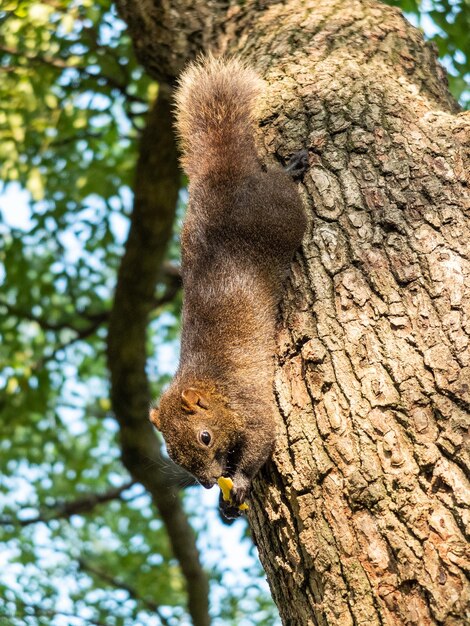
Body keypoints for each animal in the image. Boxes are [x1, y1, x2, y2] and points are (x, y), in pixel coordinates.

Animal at [149, 56, 306, 516]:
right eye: (173, 456)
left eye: (205, 437)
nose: (205, 483)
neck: (213, 386)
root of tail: (220, 172)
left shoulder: (252, 406)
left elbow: (261, 442)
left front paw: (240, 481)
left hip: (280, 212)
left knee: (281, 186)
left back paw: (290, 168)